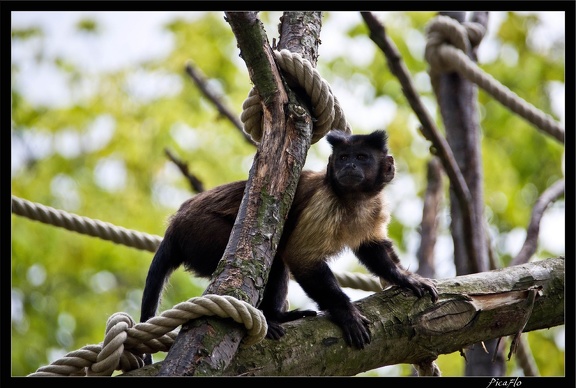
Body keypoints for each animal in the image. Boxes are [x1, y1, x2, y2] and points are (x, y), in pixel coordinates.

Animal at [140, 130, 436, 360]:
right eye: (344, 157)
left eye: (361, 157)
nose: (349, 166)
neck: (353, 200)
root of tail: (176, 224)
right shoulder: (323, 202)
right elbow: (301, 258)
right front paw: (346, 312)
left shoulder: (375, 206)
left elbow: (371, 247)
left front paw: (405, 278)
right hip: (201, 233)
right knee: (272, 260)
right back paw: (271, 318)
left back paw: (277, 316)